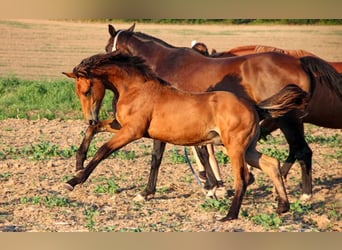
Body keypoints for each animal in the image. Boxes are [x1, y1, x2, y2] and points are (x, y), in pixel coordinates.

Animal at [62, 51, 310, 220]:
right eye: (77, 92)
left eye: (87, 90)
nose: (89, 117)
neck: (136, 89)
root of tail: (255, 107)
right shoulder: (122, 126)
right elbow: (96, 130)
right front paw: (78, 162)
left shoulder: (133, 131)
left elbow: (103, 150)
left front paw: (73, 181)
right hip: (247, 149)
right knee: (271, 164)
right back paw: (282, 206)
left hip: (235, 148)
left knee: (243, 177)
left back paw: (230, 215)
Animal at [102, 23, 342, 201]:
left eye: (106, 48)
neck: (164, 66)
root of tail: (300, 61)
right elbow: (200, 152)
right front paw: (213, 186)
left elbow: (158, 157)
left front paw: (147, 193)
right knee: (298, 151)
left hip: (287, 121)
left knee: (302, 151)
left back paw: (304, 195)